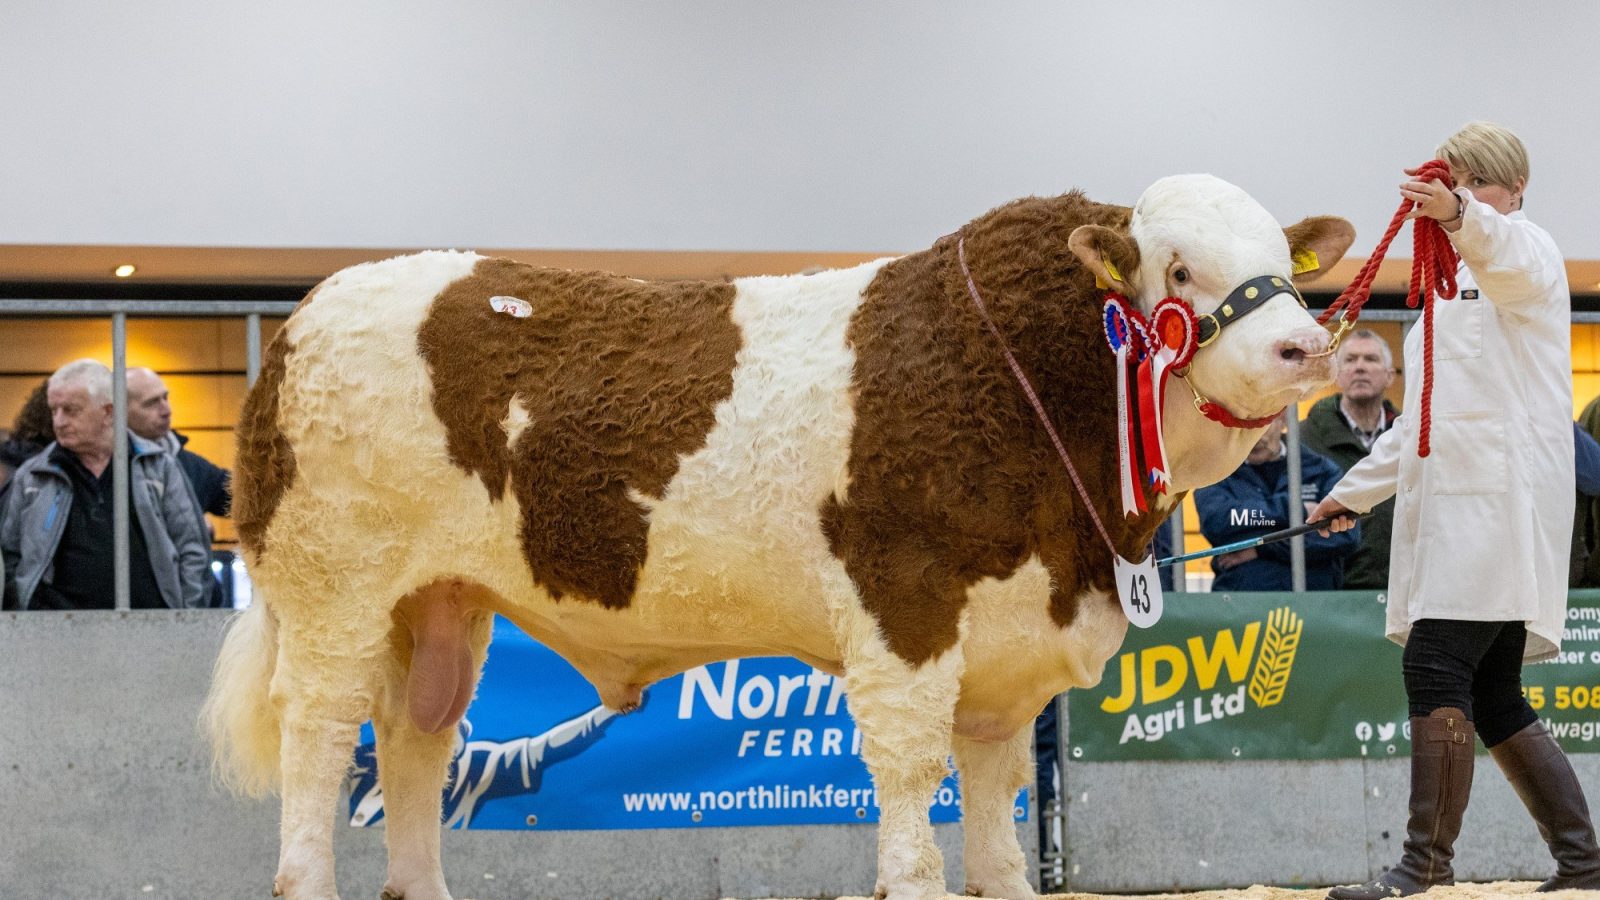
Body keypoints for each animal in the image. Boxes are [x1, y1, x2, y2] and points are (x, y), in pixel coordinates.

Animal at [202, 173, 1354, 900]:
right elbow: (909, 786)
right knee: (321, 738)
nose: (1304, 347)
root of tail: (306, 315)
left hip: (439, 603)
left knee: (415, 737)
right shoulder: (905, 609)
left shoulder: (1008, 650)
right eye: (1179, 271)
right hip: (335, 586)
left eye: (1285, 266)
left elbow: (995, 822)